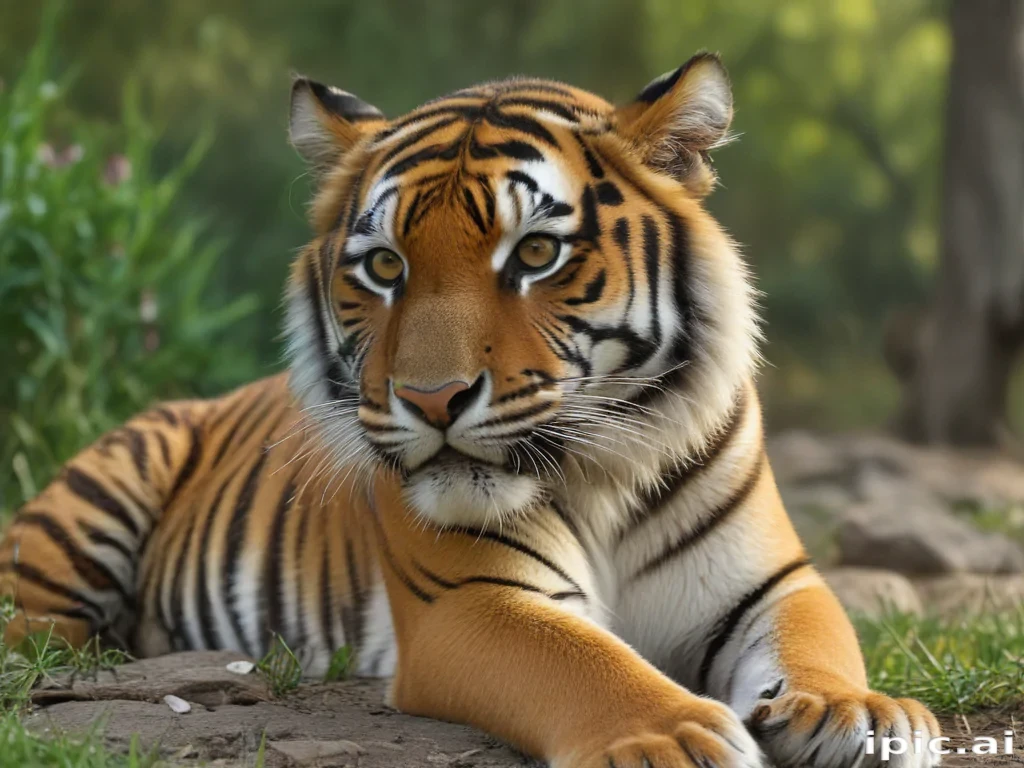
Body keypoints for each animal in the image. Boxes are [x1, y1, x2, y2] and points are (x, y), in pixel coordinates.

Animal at [0, 53, 941, 767]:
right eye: (384, 266)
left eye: (535, 253)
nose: (431, 399)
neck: (604, 476)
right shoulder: (471, 600)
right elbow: (582, 661)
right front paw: (671, 738)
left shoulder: (772, 582)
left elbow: (820, 637)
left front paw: (860, 710)